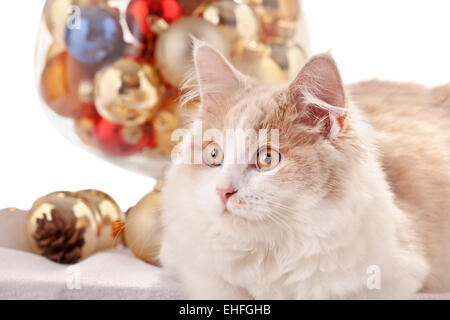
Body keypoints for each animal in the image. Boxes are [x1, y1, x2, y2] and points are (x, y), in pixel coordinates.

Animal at [159, 40, 450, 300]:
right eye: (213, 154)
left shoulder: (397, 274)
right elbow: (220, 286)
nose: (222, 191)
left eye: (267, 158)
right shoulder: (186, 262)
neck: (271, 251)